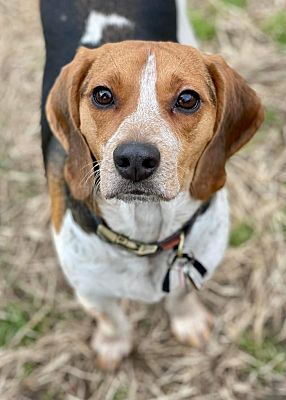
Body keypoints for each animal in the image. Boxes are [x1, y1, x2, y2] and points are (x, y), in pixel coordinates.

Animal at [40, 0, 264, 370]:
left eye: (187, 99)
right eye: (102, 95)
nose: (134, 158)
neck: (144, 233)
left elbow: (181, 295)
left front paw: (189, 321)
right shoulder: (90, 289)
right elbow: (111, 318)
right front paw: (113, 345)